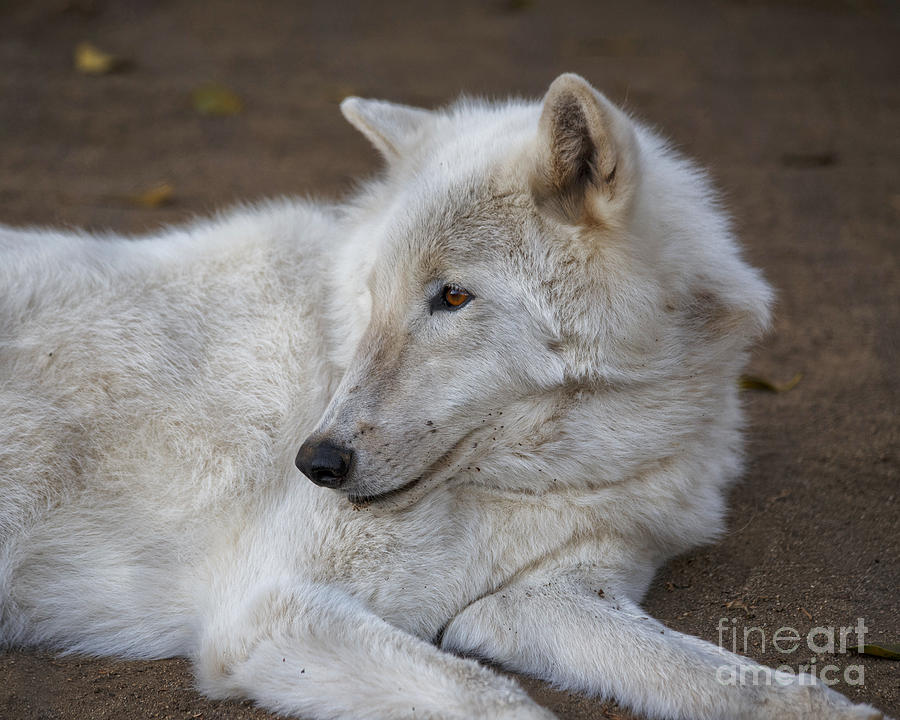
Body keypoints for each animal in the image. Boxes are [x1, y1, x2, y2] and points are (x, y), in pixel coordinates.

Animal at [0, 74, 884, 720]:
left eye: (452, 297)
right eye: (373, 295)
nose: (316, 462)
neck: (551, 475)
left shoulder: (543, 595)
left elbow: (746, 682)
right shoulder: (267, 610)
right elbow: (493, 697)